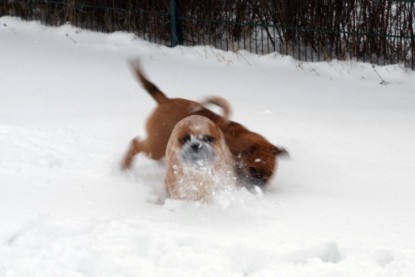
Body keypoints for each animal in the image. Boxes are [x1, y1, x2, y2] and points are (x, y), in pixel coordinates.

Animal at [122, 59, 288, 187]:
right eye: (252, 169)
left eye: (269, 174)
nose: (259, 186)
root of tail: (165, 100)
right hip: (156, 147)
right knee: (135, 144)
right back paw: (124, 166)